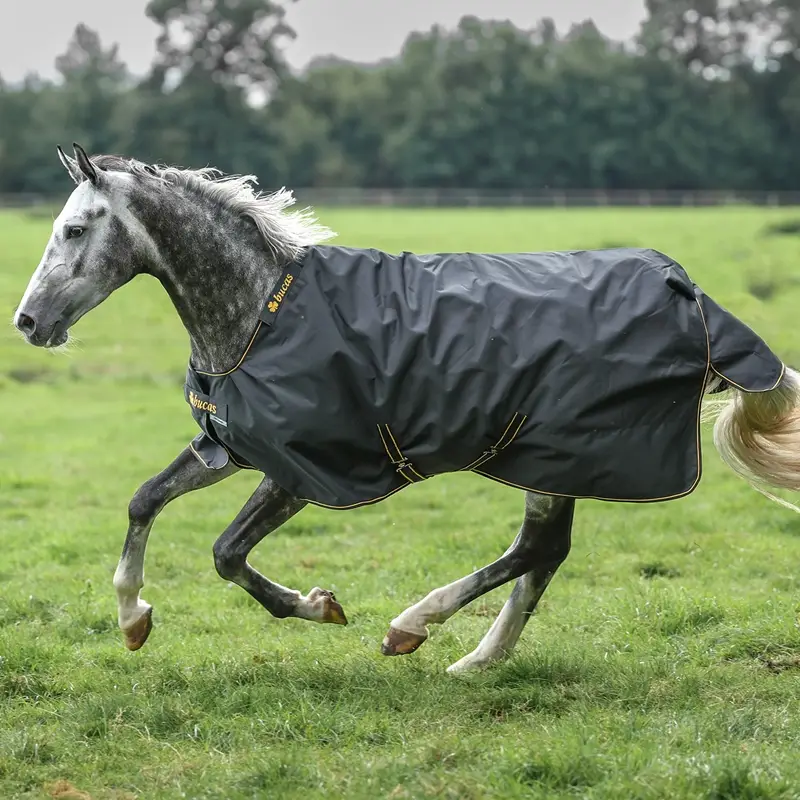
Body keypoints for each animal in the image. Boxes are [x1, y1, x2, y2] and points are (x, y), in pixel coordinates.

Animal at [13, 144, 800, 674]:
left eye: (75, 230)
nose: (28, 322)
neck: (261, 311)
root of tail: (693, 298)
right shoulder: (234, 445)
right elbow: (144, 500)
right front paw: (132, 620)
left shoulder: (301, 471)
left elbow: (227, 553)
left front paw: (319, 605)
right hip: (551, 457)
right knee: (544, 554)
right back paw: (478, 659)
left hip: (552, 452)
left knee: (536, 550)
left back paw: (413, 626)